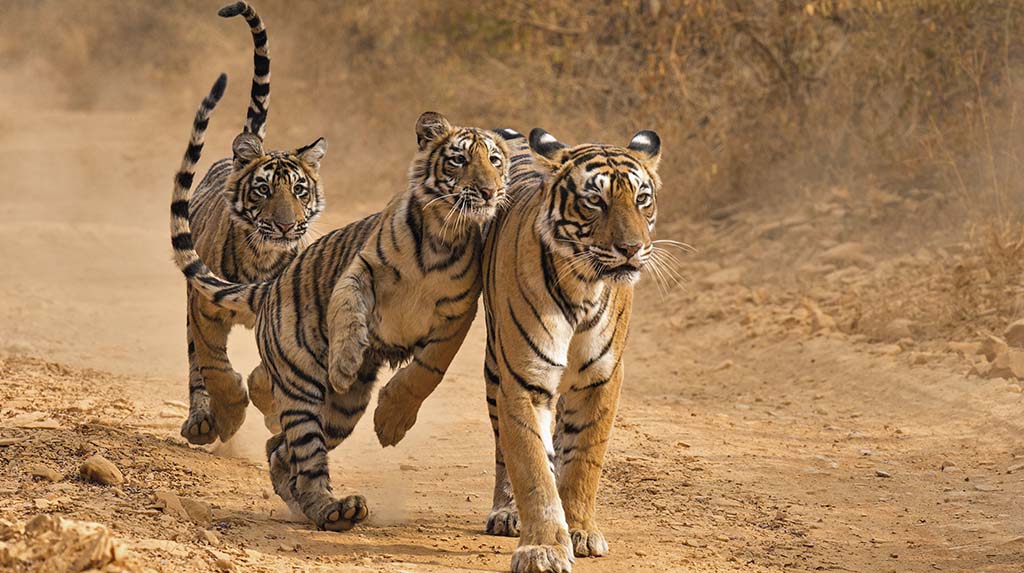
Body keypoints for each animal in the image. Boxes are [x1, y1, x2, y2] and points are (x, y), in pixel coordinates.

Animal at [173, 73, 516, 532]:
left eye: (495, 160)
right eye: (459, 160)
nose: (488, 191)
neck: (442, 234)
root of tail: (270, 286)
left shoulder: (460, 312)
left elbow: (428, 369)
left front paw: (391, 422)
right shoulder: (361, 268)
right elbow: (348, 310)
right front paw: (345, 362)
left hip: (342, 411)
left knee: (281, 452)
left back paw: (324, 506)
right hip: (302, 388)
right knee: (301, 451)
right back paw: (332, 508)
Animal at [176, 2, 327, 446]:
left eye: (300, 190)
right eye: (263, 190)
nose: (285, 227)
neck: (262, 257)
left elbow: (268, 373)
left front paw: (269, 407)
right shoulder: (203, 307)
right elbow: (216, 368)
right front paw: (229, 417)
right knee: (196, 366)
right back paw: (202, 421)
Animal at [372, 124, 659, 568]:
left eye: (642, 199)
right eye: (595, 201)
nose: (631, 249)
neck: (584, 287)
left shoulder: (601, 379)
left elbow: (584, 459)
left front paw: (580, 530)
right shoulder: (524, 378)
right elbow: (531, 466)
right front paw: (543, 547)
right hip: (496, 370)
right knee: (504, 450)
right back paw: (507, 512)